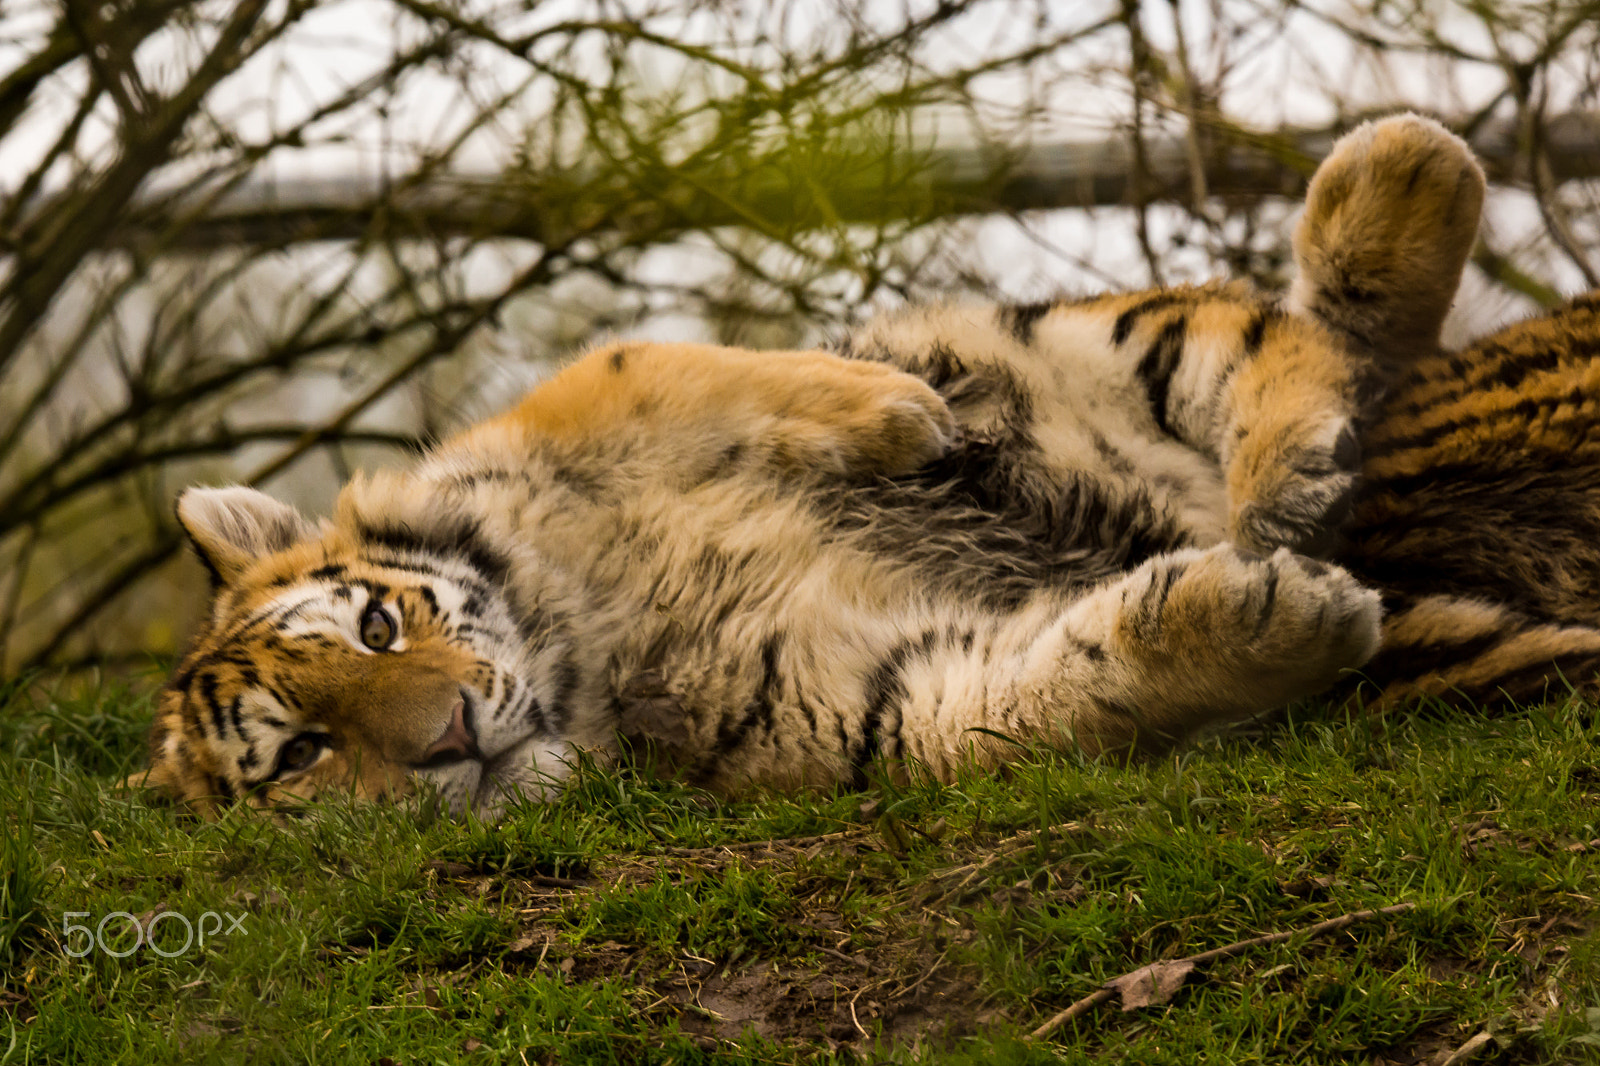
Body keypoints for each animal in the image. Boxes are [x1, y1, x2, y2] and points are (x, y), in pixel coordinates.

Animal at [140, 112, 1600, 816]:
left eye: (378, 627)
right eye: (301, 757)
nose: (445, 735)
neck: (578, 646)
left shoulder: (568, 419)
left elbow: (668, 365)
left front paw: (899, 421)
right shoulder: (852, 700)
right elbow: (1023, 704)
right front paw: (1261, 617)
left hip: (1069, 353)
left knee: (1288, 337)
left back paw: (1385, 221)